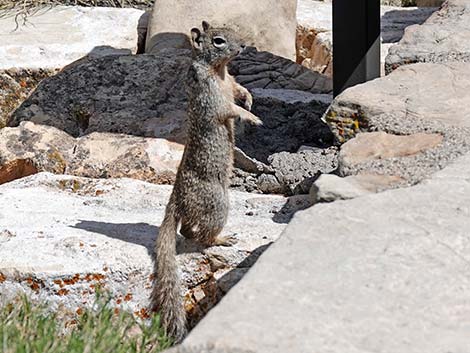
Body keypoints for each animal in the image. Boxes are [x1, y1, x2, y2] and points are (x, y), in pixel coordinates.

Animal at [151, 20, 260, 340]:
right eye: (219, 41)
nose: (244, 46)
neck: (219, 70)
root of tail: (176, 200)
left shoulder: (231, 82)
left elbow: (239, 89)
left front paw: (250, 98)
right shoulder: (212, 96)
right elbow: (230, 110)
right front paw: (251, 117)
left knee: (188, 230)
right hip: (217, 203)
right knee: (198, 235)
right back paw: (223, 238)